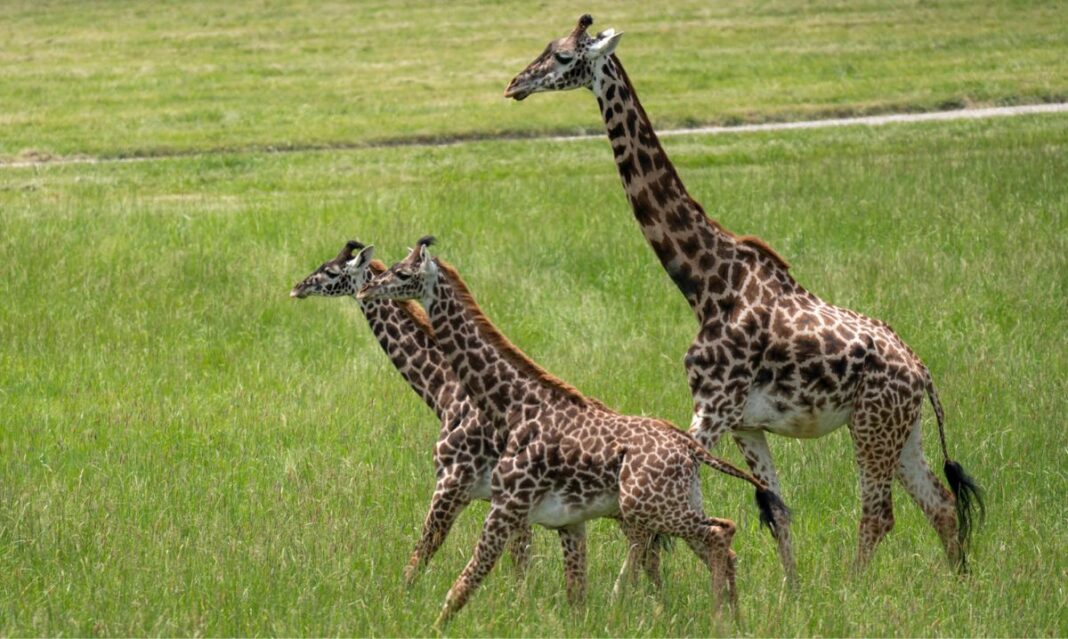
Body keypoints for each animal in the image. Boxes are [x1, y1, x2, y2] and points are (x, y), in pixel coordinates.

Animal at [290, 240, 534, 584]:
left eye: (332, 271)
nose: (298, 288)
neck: (445, 393)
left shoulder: (456, 483)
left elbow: (420, 557)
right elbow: (520, 560)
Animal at [357, 237, 788, 626]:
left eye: (403, 273)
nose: (368, 286)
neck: (513, 407)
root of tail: (691, 450)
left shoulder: (502, 503)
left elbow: (462, 582)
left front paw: (426, 623)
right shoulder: (568, 520)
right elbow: (574, 596)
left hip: (647, 507)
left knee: (719, 534)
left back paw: (717, 620)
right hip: (671, 504)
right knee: (717, 545)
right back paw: (733, 619)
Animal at [504, 15, 983, 578]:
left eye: (562, 56)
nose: (514, 84)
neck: (706, 283)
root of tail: (923, 374)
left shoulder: (712, 406)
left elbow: (651, 512)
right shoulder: (745, 424)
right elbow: (776, 509)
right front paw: (791, 592)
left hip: (871, 424)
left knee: (879, 513)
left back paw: (856, 587)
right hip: (903, 428)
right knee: (940, 502)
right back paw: (958, 583)